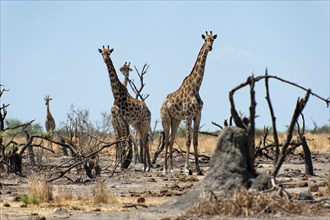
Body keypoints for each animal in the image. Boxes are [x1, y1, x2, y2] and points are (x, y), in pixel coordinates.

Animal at [157, 31, 217, 175]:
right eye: (205, 40)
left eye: (213, 39)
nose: (210, 47)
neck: (196, 88)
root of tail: (162, 104)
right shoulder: (188, 116)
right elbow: (188, 141)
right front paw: (187, 168)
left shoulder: (198, 115)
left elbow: (195, 141)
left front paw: (198, 169)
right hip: (165, 119)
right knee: (166, 141)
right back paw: (165, 169)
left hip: (175, 120)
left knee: (171, 141)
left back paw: (172, 169)